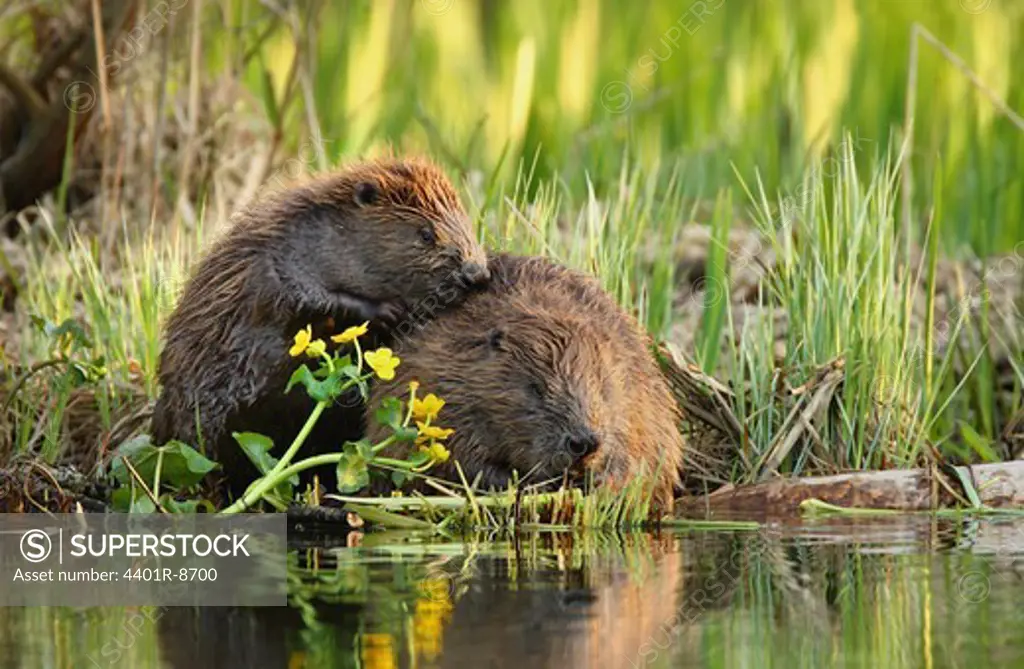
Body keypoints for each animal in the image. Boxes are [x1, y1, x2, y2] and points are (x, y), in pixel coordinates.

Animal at [149, 155, 489, 489]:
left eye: (467, 223)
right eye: (426, 233)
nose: (476, 273)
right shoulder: (278, 255)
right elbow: (300, 294)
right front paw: (389, 310)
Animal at [364, 254, 684, 506]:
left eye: (604, 389)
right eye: (535, 388)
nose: (583, 442)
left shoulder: (638, 387)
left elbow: (646, 450)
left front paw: (602, 480)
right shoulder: (438, 374)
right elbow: (455, 456)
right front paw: (523, 483)